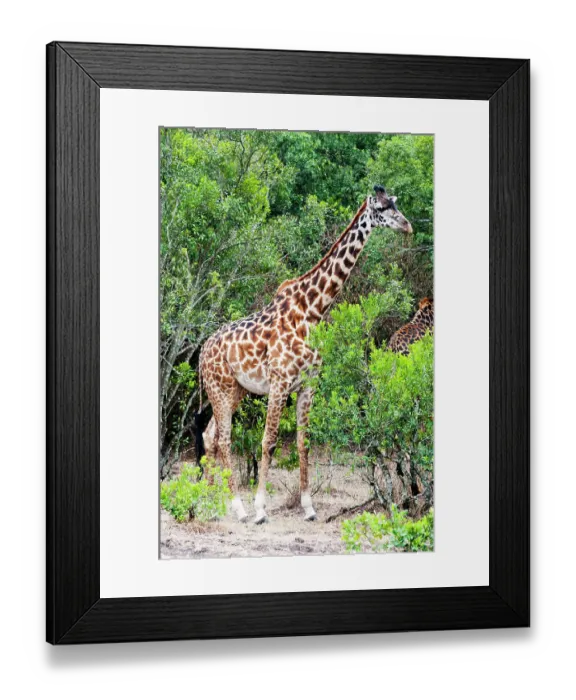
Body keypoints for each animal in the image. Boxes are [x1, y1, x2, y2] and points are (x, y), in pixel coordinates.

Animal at [197, 185, 413, 524]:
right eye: (381, 208)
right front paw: (260, 509)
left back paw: (208, 500)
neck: (313, 310)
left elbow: (303, 443)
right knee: (223, 438)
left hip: (235, 391)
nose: (407, 226)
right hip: (219, 388)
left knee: (210, 435)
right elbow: (269, 441)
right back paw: (238, 507)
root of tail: (201, 352)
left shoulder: (308, 383)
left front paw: (309, 508)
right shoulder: (279, 382)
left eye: (396, 203)